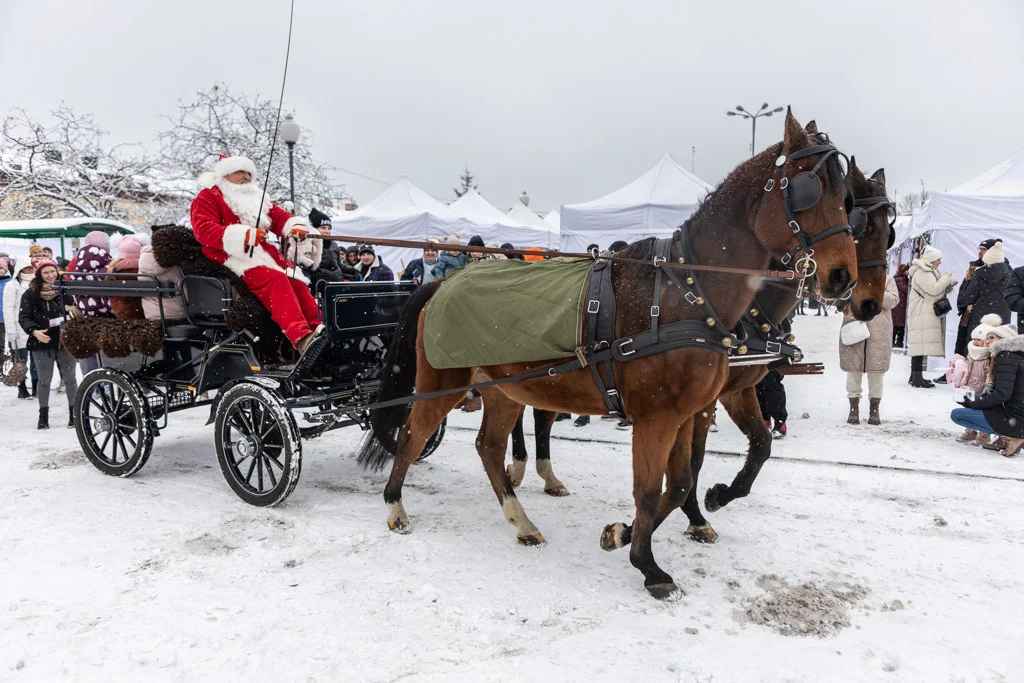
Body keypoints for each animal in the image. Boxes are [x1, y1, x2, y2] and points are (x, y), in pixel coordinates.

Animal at [360, 111, 856, 598]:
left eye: (849, 198)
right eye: (809, 189)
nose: (842, 278)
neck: (686, 292)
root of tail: (444, 281)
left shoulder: (688, 411)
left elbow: (680, 483)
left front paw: (630, 532)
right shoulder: (657, 416)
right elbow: (651, 490)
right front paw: (647, 564)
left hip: (503, 389)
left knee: (489, 447)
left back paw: (521, 521)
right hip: (444, 380)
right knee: (414, 433)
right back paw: (395, 506)